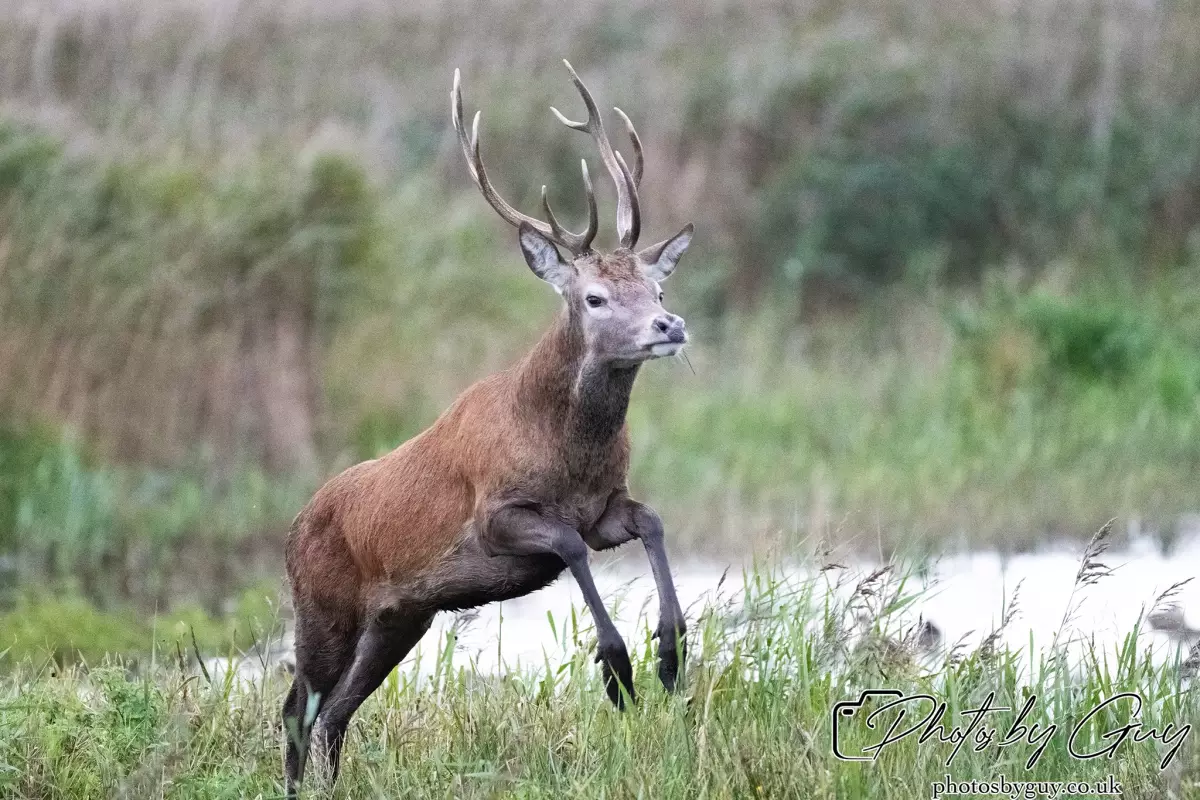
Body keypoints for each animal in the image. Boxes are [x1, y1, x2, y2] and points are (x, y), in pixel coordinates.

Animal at [282, 60, 694, 795]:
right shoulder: (496, 516)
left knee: (333, 713)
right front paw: (617, 670)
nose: (669, 326)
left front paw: (670, 656)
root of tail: (290, 530)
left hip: (401, 618)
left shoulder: (605, 506)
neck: (567, 453)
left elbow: (650, 520)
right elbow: (569, 544)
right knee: (296, 707)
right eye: (594, 297)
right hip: (322, 605)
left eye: (659, 289)